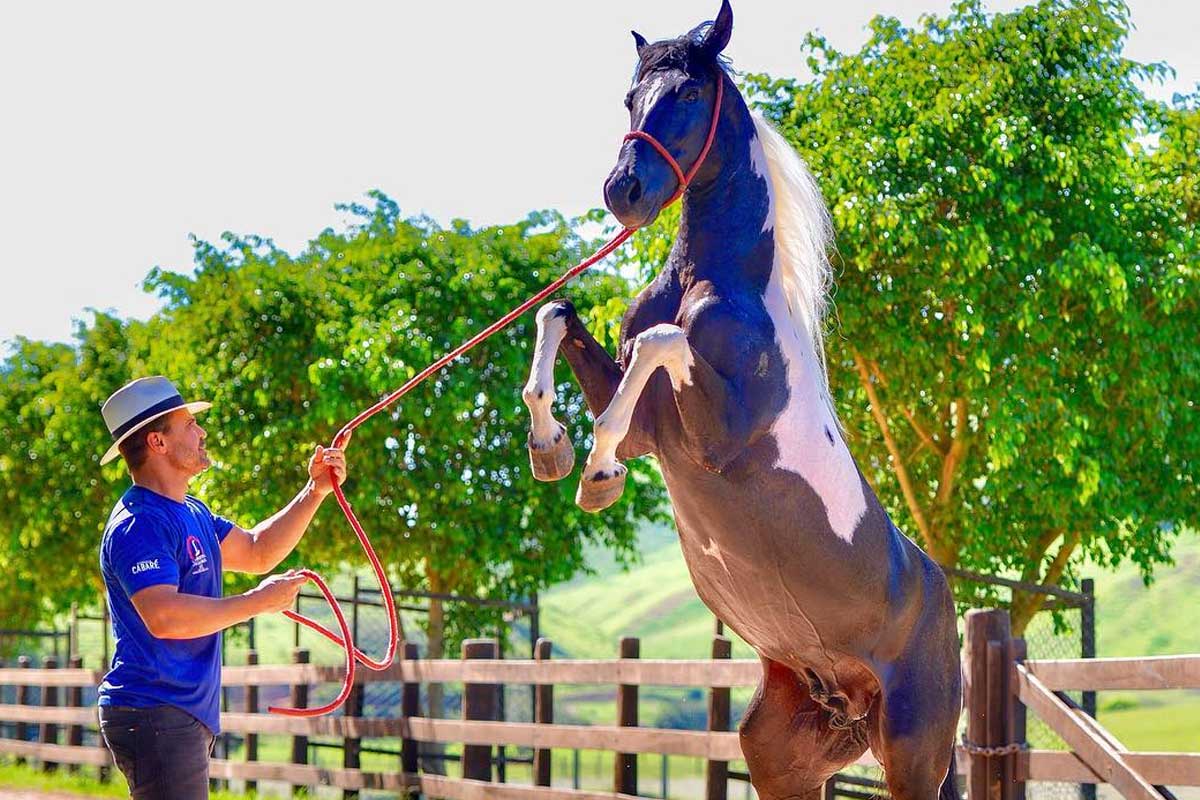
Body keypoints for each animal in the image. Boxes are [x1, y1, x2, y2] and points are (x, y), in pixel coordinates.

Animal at [520, 3, 960, 796]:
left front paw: (596, 474)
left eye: (689, 94)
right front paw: (552, 448)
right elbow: (557, 315)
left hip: (914, 754)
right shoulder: (653, 429)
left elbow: (661, 342)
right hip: (782, 754)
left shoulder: (714, 436)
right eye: (629, 98)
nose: (623, 192)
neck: (715, 281)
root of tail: (944, 601)